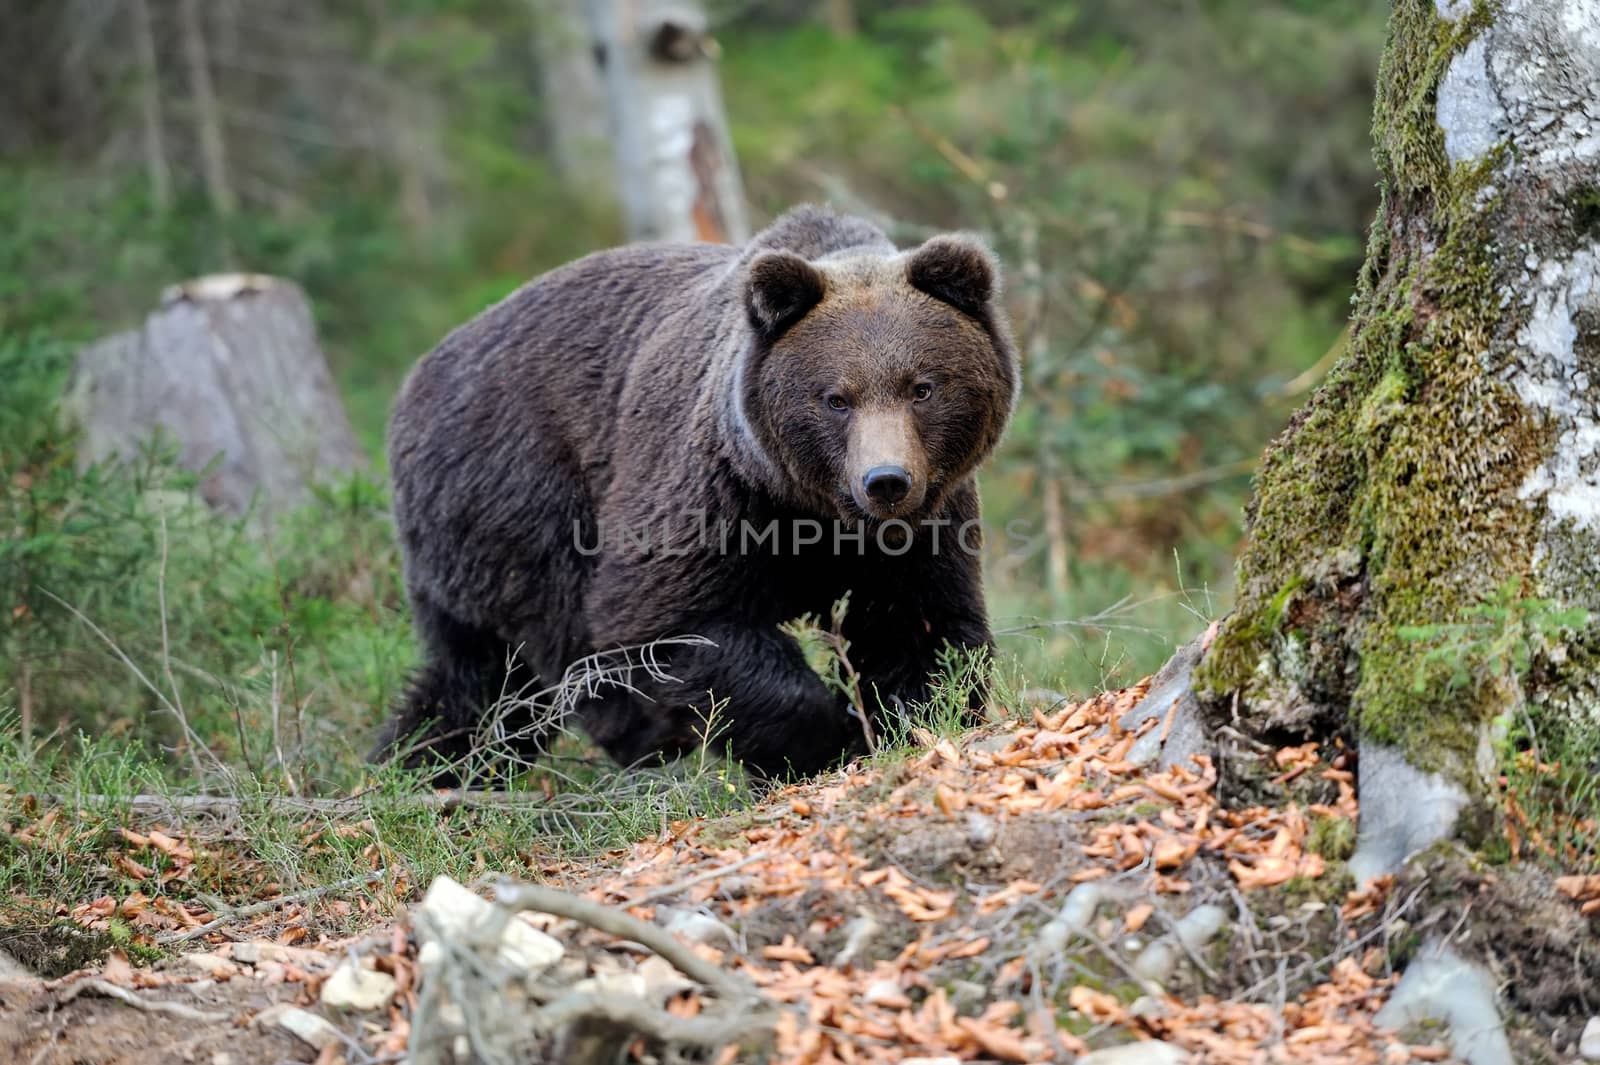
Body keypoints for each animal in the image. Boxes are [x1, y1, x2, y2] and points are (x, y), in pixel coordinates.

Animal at [377, 204, 1011, 780]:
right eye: (836, 398)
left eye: (922, 387)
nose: (885, 481)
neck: (811, 507)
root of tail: (414, 384)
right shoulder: (713, 491)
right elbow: (667, 623)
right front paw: (820, 738)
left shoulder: (924, 524)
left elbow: (918, 628)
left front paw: (904, 720)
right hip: (521, 492)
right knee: (557, 637)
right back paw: (636, 735)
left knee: (476, 680)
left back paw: (418, 766)